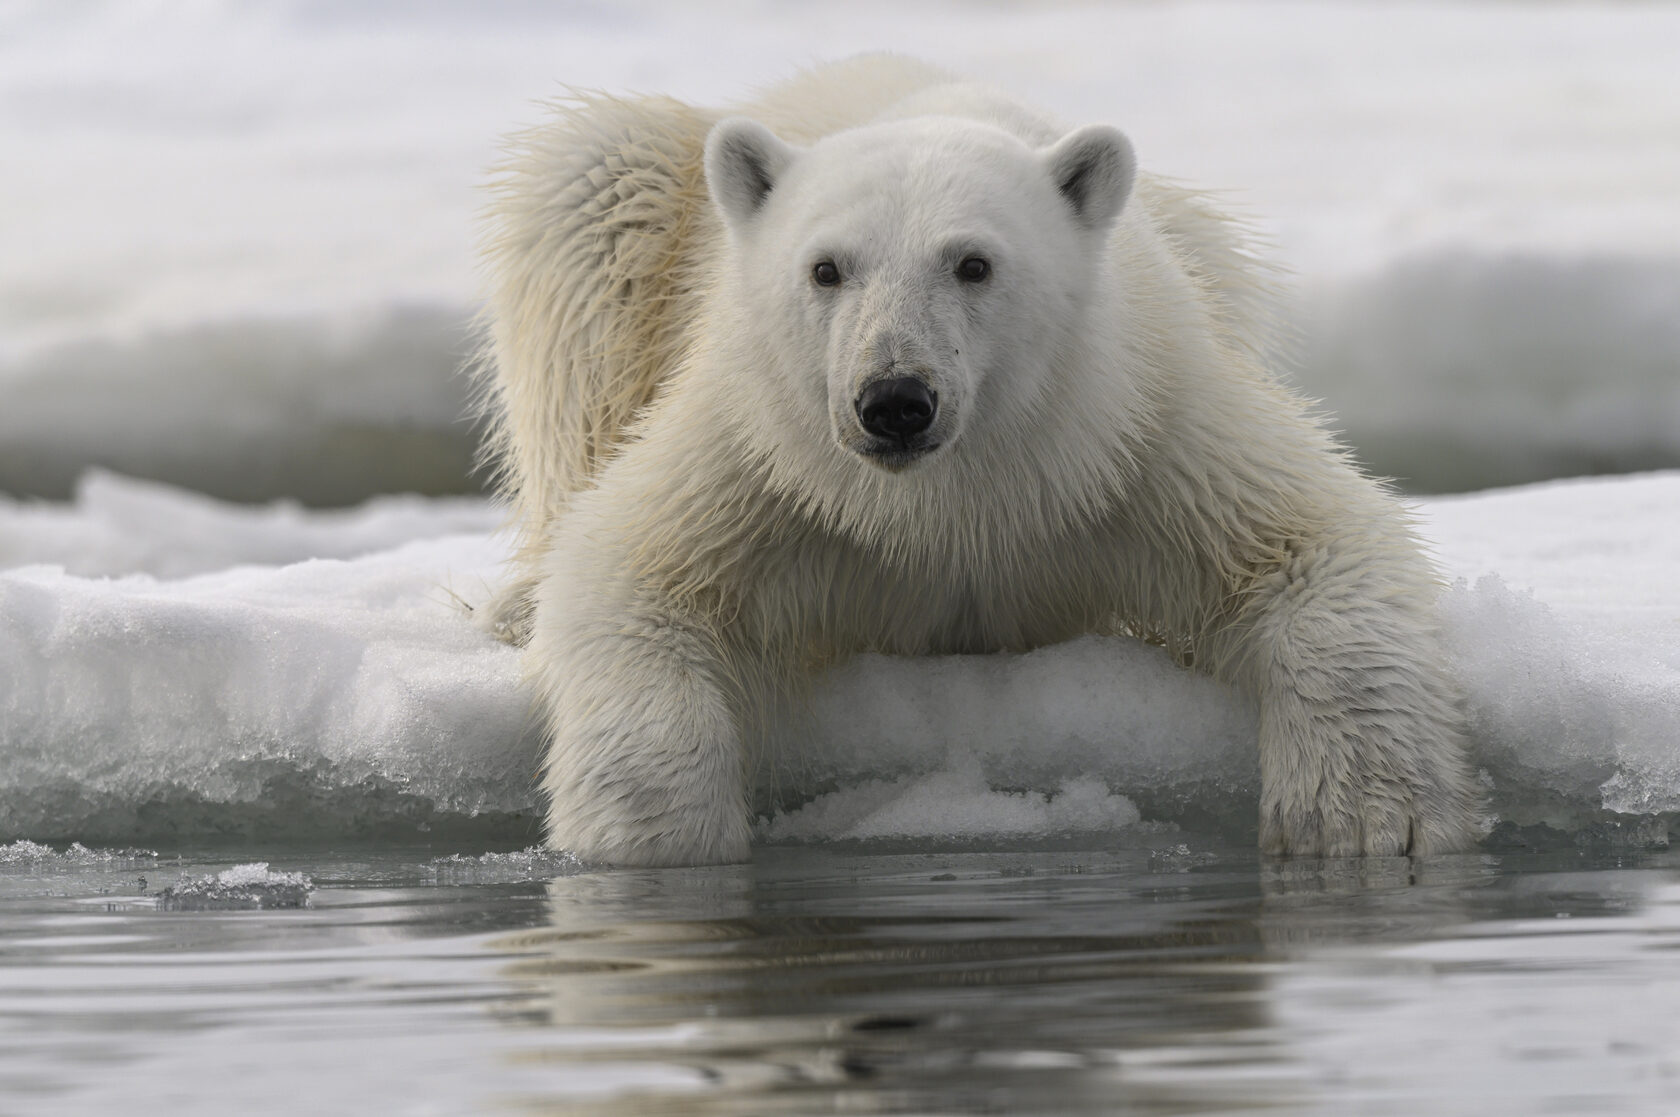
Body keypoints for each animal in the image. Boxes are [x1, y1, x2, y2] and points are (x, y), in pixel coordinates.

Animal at [477, 56, 1485, 866]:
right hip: (642, 217)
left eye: (973, 263)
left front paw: (1365, 819)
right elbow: (635, 576)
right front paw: (651, 845)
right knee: (584, 213)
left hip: (1209, 252)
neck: (952, 499)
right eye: (825, 268)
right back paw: (514, 600)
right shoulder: (766, 462)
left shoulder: (1133, 433)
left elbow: (1313, 546)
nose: (894, 400)